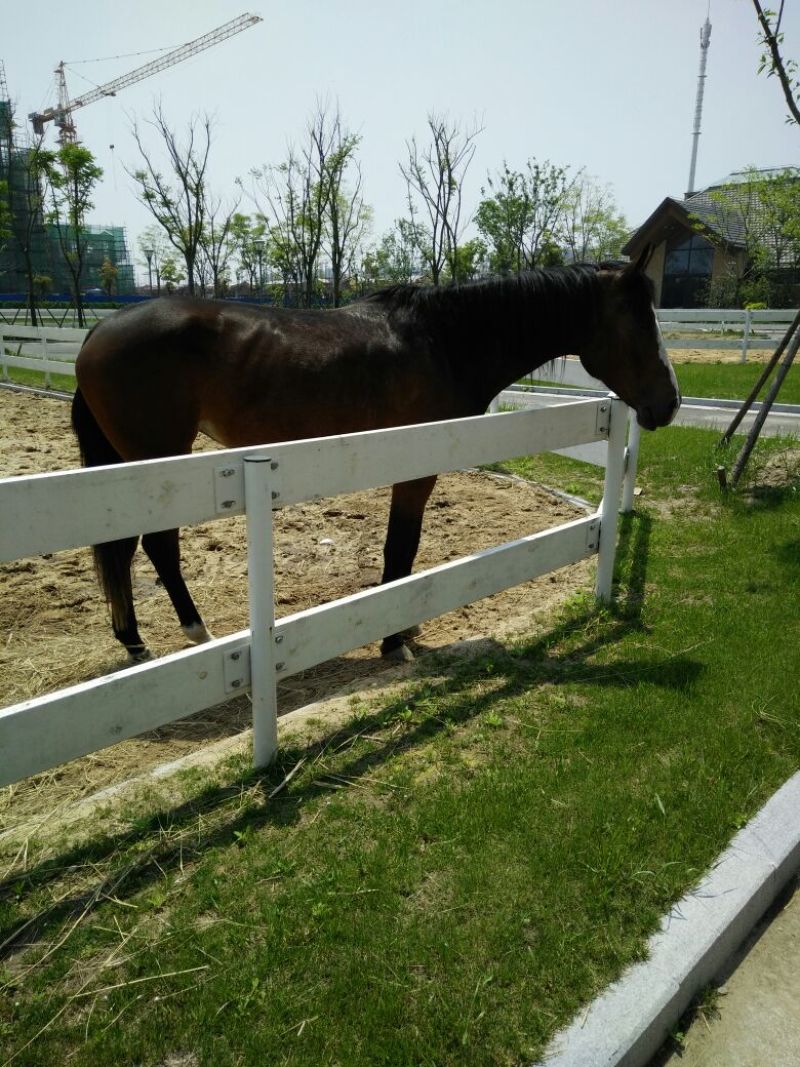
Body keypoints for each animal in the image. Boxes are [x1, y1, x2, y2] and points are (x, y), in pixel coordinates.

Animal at [71, 247, 680, 664]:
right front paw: (393, 640)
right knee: (155, 547)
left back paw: (134, 643)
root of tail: (98, 330)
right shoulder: (413, 471)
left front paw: (402, 631)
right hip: (156, 461)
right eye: (638, 324)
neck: (446, 341)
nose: (669, 403)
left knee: (125, 551)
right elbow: (399, 551)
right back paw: (194, 633)